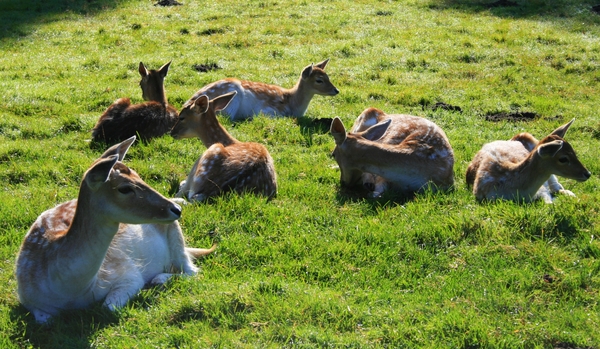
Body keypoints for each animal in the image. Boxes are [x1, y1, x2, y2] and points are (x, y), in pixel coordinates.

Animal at [14, 137, 218, 324]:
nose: (176, 209)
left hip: (176, 235)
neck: (72, 293)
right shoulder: (28, 300)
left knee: (192, 270)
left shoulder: (129, 274)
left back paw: (159, 278)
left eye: (138, 175)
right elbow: (44, 319)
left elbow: (108, 306)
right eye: (124, 188)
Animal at [464, 118, 592, 203]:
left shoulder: (542, 189)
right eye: (563, 159)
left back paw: (571, 195)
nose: (588, 173)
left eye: (574, 152)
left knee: (557, 186)